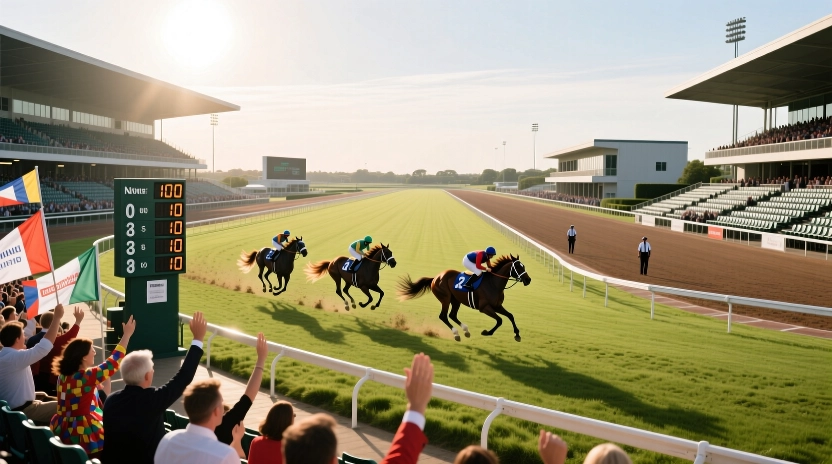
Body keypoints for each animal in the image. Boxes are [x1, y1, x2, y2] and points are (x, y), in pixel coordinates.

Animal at [396, 254, 531, 342]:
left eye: (524, 266)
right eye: (518, 267)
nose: (528, 280)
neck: (493, 284)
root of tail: (435, 277)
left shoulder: (497, 306)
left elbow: (510, 316)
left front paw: (517, 334)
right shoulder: (484, 308)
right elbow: (500, 320)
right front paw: (487, 332)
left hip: (455, 300)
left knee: (452, 315)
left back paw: (466, 331)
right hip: (445, 298)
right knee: (443, 316)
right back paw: (456, 334)